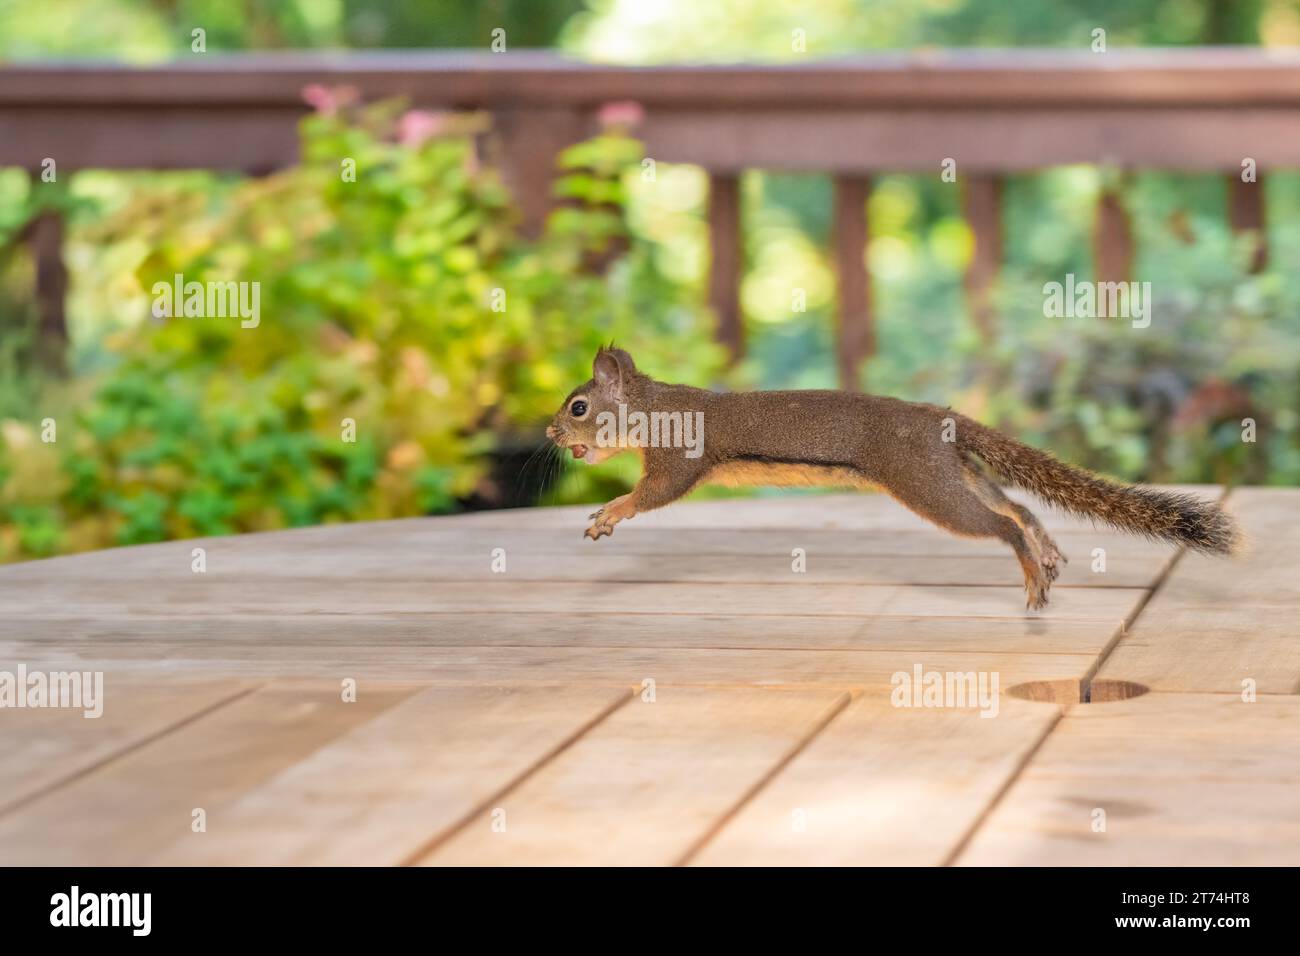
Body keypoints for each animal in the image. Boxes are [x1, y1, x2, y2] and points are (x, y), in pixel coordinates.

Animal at [545, 346, 1240, 610]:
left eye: (578, 406)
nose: (550, 434)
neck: (653, 406)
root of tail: (943, 419)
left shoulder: (679, 457)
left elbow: (654, 493)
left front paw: (609, 513)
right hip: (952, 473)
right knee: (1015, 508)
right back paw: (1045, 550)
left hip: (927, 485)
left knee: (998, 525)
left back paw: (1031, 575)